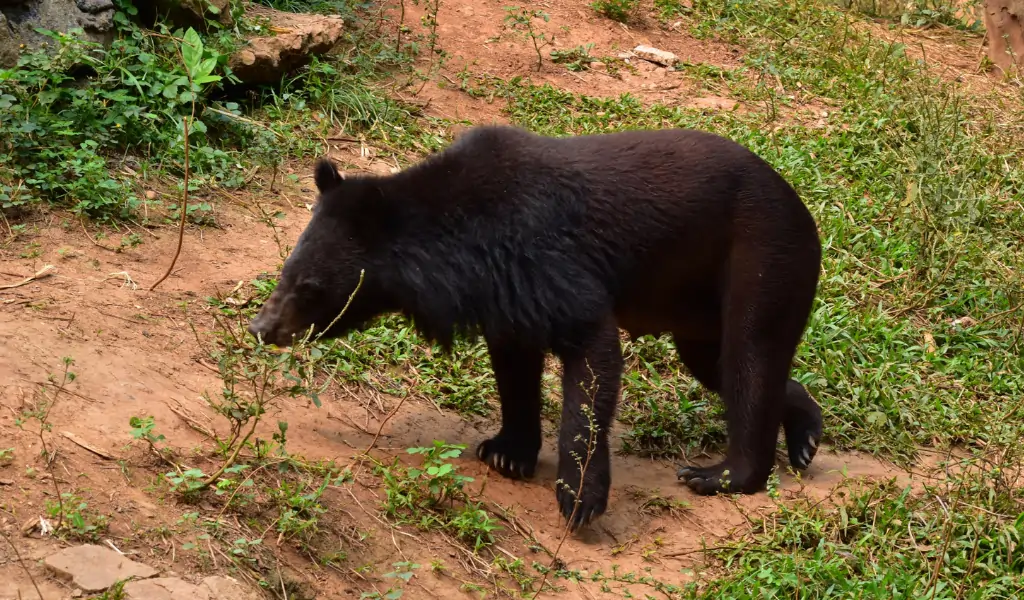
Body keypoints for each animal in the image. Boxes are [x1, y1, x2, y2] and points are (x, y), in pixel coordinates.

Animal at [247, 124, 824, 531]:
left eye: (309, 287)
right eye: (285, 272)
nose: (262, 328)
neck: (462, 245)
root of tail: (801, 207)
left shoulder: (544, 262)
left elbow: (592, 356)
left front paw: (579, 500)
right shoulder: (507, 294)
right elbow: (515, 367)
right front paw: (507, 453)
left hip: (764, 257)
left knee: (752, 353)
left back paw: (718, 475)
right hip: (694, 304)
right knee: (723, 362)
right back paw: (805, 436)